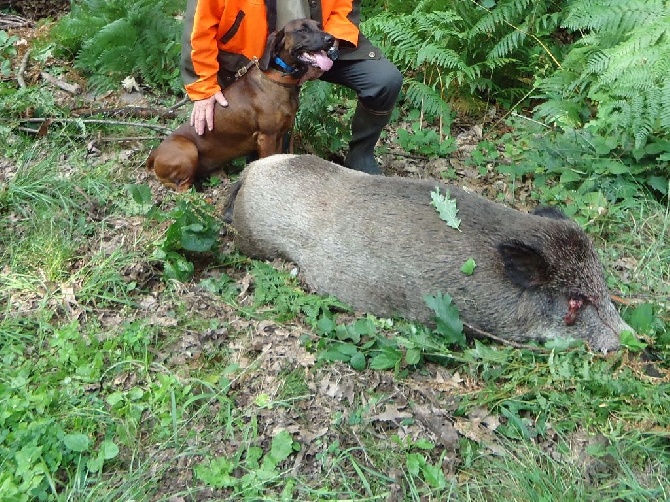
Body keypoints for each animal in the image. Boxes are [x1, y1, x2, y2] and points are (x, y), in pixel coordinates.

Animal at [148, 19, 336, 190]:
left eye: (319, 26)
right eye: (302, 29)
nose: (331, 39)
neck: (279, 80)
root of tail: (154, 154)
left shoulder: (281, 134)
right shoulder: (267, 136)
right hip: (189, 150)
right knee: (180, 187)